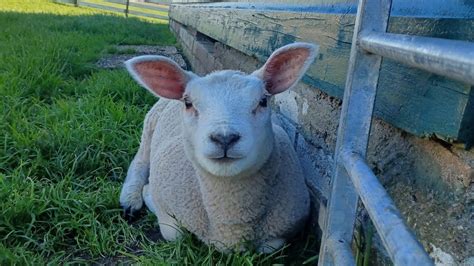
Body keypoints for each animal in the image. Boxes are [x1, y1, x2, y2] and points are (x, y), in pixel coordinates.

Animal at [118, 42, 318, 252]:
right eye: (188, 103)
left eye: (263, 101)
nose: (224, 139)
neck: (230, 225)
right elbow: (175, 234)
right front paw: (147, 194)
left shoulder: (287, 226)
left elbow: (269, 248)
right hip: (150, 124)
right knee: (140, 161)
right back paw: (130, 199)